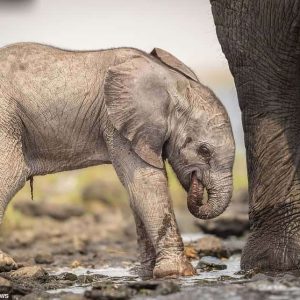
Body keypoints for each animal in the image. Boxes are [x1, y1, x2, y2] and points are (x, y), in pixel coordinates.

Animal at [0, 43, 234, 278]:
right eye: (204, 150)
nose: (196, 183)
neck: (171, 82)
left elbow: (137, 189)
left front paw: (144, 273)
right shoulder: (116, 123)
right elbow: (147, 182)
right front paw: (178, 273)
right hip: (6, 117)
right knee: (11, 176)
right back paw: (5, 263)